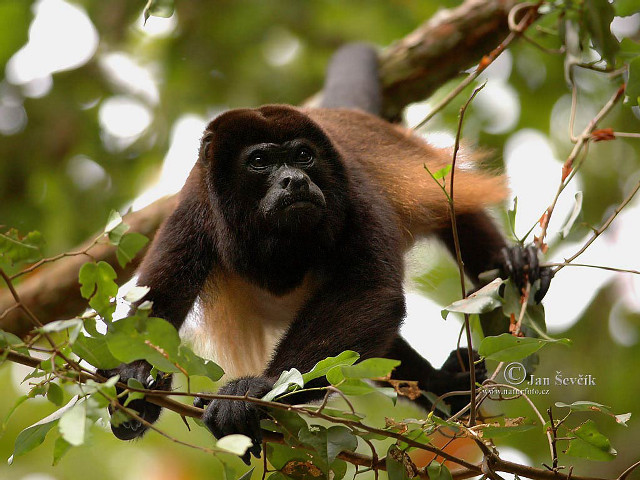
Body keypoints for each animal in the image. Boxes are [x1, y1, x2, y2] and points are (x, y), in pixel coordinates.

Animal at [97, 44, 551, 460]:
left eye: (303, 156)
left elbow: (369, 292)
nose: (295, 181)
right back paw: (443, 386)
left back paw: (512, 266)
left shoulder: (356, 195)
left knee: (453, 207)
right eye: (259, 161)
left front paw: (254, 391)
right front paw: (134, 381)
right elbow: (157, 300)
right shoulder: (193, 208)